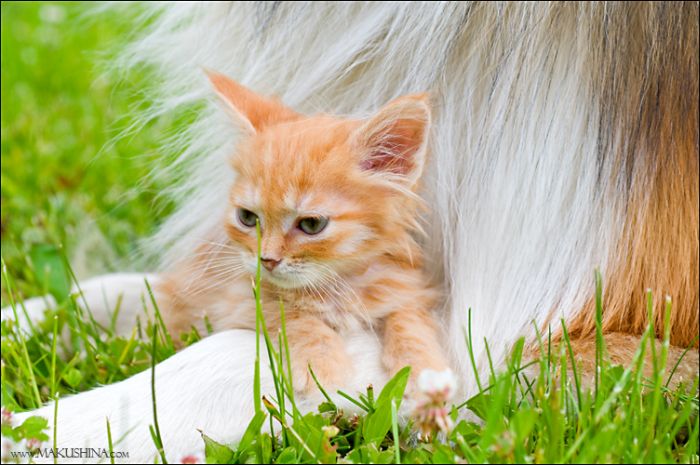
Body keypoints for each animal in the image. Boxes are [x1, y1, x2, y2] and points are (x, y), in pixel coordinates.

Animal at [158, 70, 452, 394]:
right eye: (248, 218)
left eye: (311, 224)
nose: (267, 260)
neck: (336, 286)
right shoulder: (236, 299)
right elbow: (290, 314)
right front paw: (322, 368)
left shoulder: (409, 287)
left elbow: (409, 318)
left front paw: (426, 370)